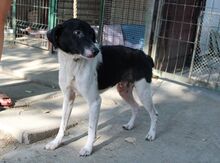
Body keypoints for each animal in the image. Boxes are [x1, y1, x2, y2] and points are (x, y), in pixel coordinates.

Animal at [45, 18, 158, 157]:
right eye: (77, 32)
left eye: (91, 34)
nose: (96, 51)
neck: (74, 64)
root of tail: (144, 55)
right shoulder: (68, 98)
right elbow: (62, 124)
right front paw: (56, 143)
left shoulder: (95, 101)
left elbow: (91, 128)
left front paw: (88, 148)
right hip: (124, 90)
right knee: (136, 107)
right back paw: (130, 125)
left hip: (143, 91)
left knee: (154, 114)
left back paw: (151, 134)